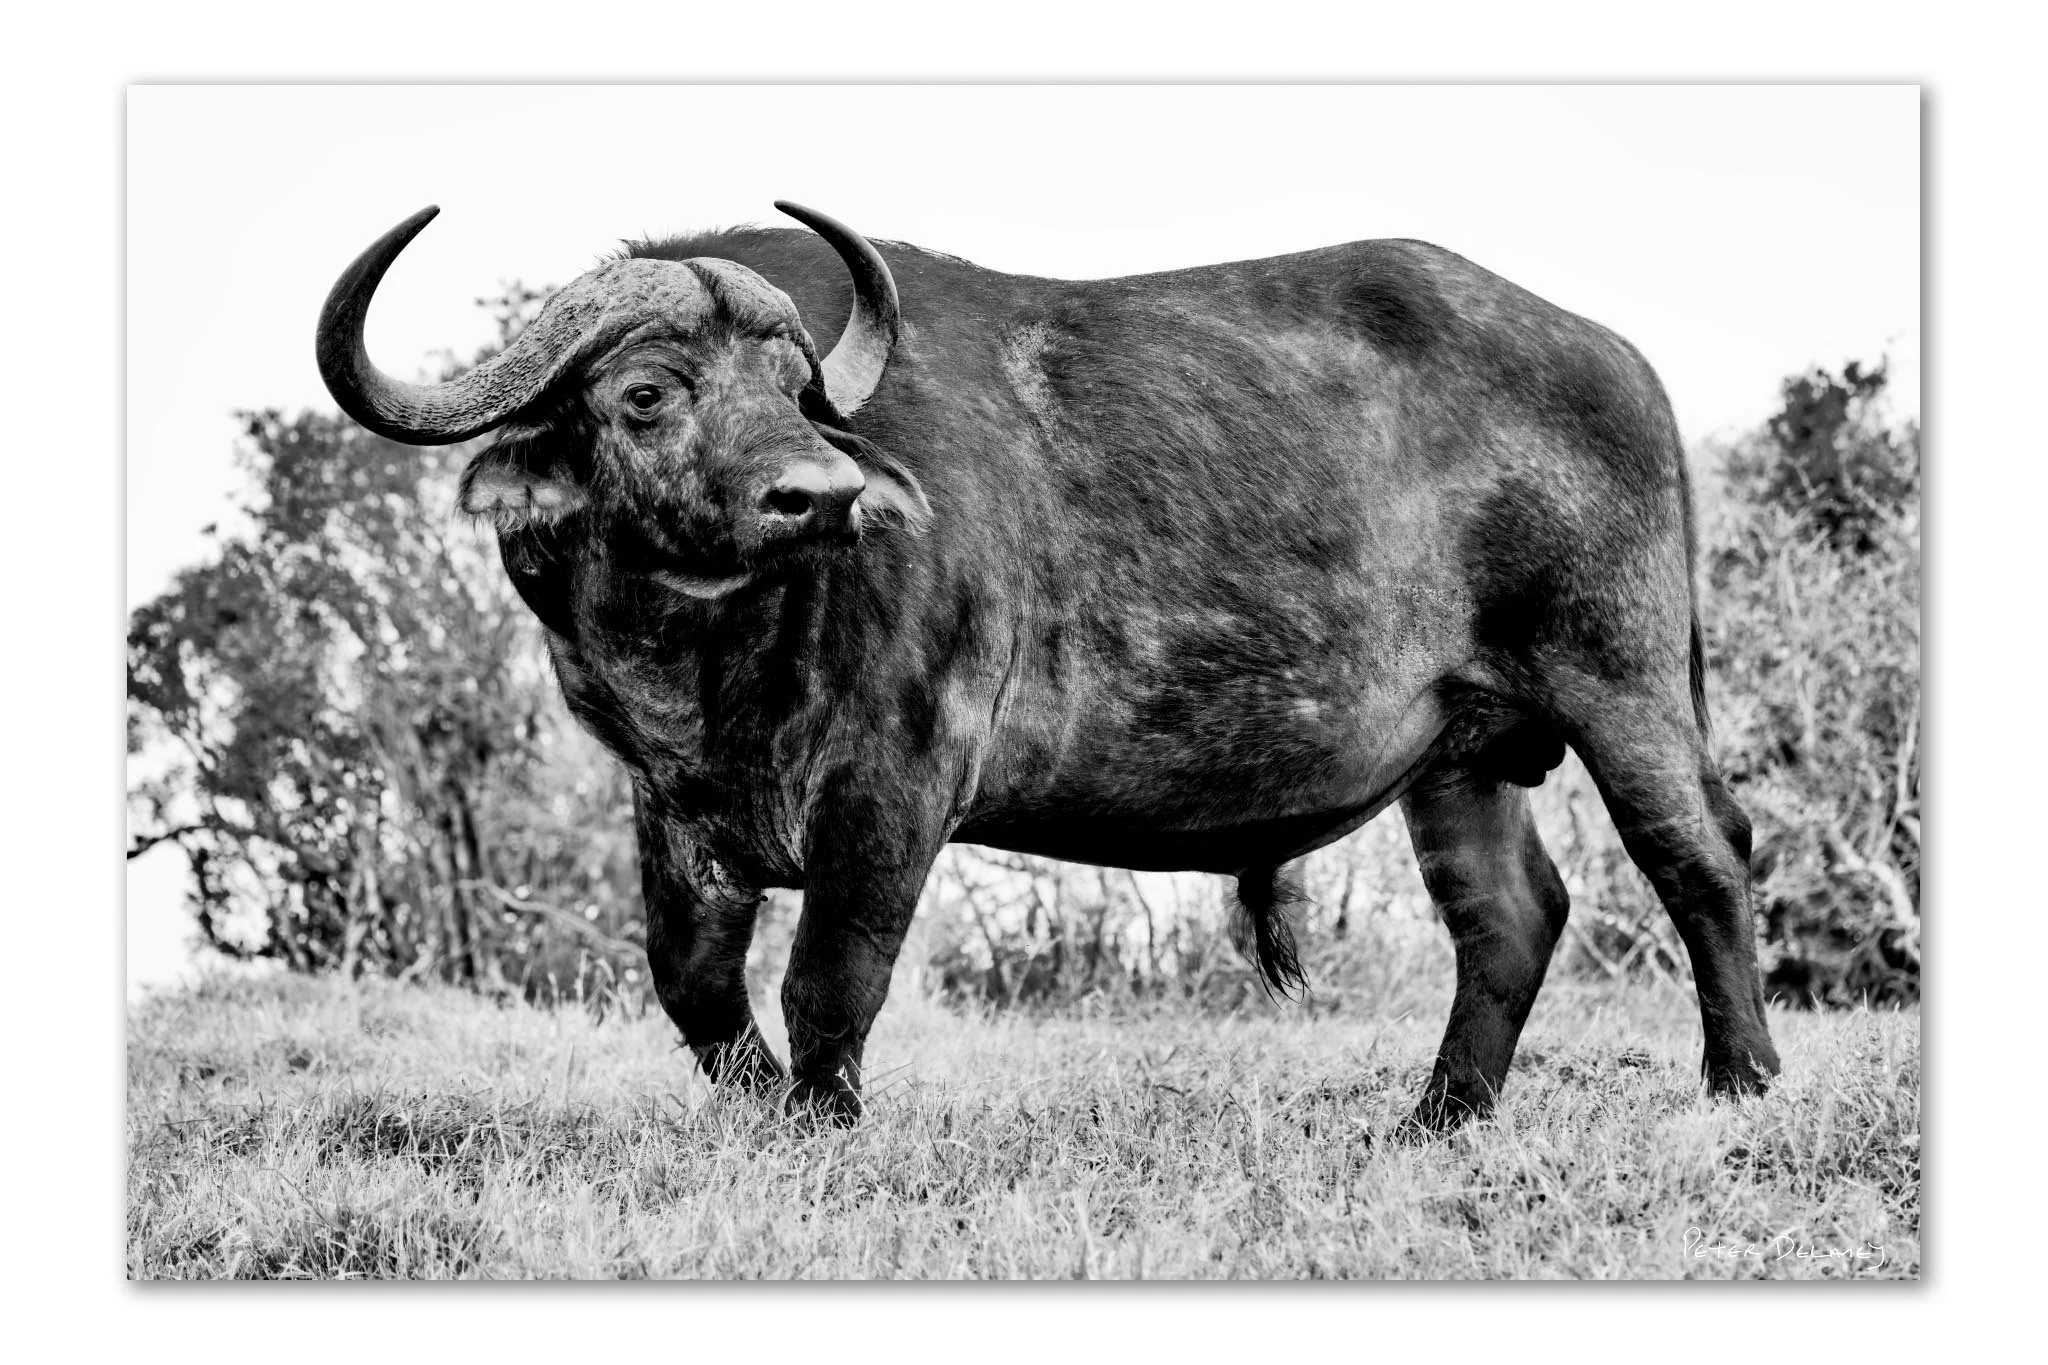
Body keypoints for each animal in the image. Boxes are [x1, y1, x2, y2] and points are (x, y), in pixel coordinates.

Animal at [316, 202, 1781, 1131]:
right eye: (645, 394)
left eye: (795, 394)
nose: (817, 495)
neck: (714, 653)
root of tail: (1615, 361)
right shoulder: (672, 800)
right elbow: (694, 987)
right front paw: (760, 1109)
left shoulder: (895, 777)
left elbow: (829, 976)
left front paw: (819, 1124)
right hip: (1460, 753)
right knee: (1510, 917)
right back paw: (1437, 1116)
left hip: (1620, 682)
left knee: (1700, 856)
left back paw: (1741, 1079)